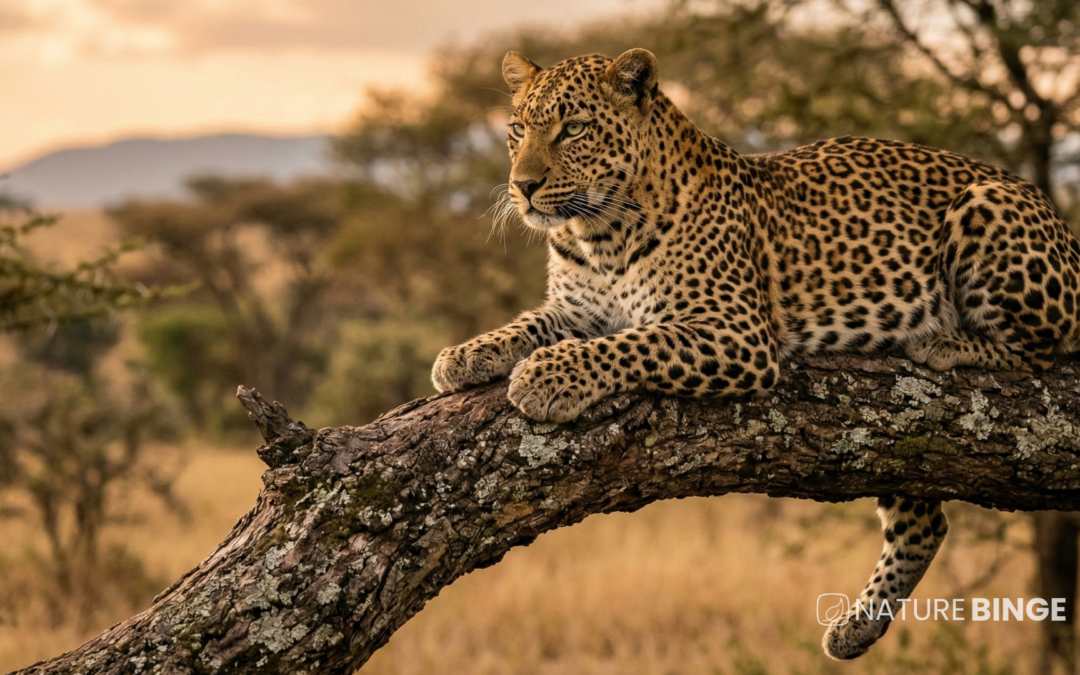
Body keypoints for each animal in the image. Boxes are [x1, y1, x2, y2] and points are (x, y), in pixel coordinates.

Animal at [430, 48, 1080, 660]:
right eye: (518, 129)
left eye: (574, 128)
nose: (523, 186)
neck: (599, 234)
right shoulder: (575, 309)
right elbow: (529, 323)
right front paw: (463, 355)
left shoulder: (734, 331)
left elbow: (630, 342)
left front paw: (546, 376)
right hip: (906, 456)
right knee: (925, 522)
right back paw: (855, 630)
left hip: (987, 206)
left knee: (1040, 351)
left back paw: (941, 340)